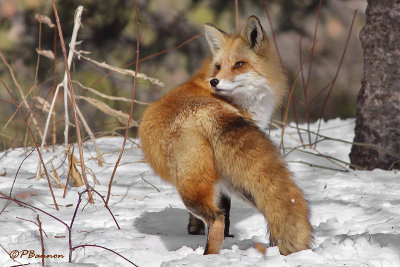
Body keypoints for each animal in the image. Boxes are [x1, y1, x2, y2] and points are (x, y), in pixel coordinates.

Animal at [138, 15, 312, 256]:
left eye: (239, 64)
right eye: (219, 67)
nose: (215, 82)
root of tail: (207, 112)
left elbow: (221, 210)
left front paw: (195, 231)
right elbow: (224, 209)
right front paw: (199, 232)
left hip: (207, 183)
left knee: (218, 216)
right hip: (216, 184)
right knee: (222, 216)